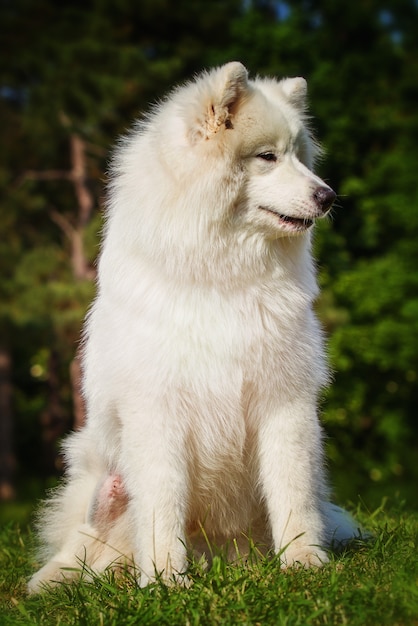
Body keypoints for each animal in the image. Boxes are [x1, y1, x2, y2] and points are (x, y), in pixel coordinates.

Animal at [28, 62, 356, 588]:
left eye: (298, 157)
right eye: (267, 157)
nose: (327, 195)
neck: (221, 278)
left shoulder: (283, 400)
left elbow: (294, 491)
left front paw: (304, 561)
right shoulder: (157, 410)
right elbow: (162, 502)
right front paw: (166, 579)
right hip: (91, 453)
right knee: (86, 545)